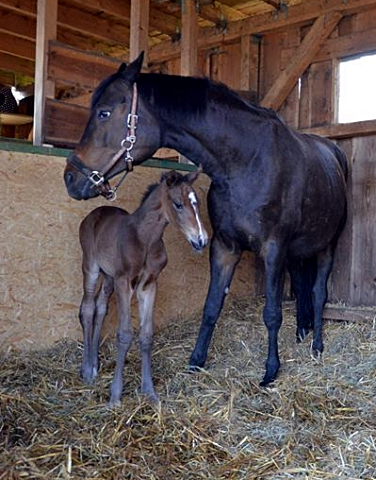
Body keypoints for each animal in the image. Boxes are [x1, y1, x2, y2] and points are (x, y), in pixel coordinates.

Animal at [79, 169, 207, 404]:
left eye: (198, 203)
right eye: (178, 204)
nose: (201, 240)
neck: (145, 239)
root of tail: (95, 212)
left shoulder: (149, 285)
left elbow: (146, 335)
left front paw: (149, 392)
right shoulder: (123, 282)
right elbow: (124, 334)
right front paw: (115, 396)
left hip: (108, 276)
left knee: (101, 308)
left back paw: (94, 365)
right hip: (91, 267)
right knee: (88, 308)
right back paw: (86, 370)